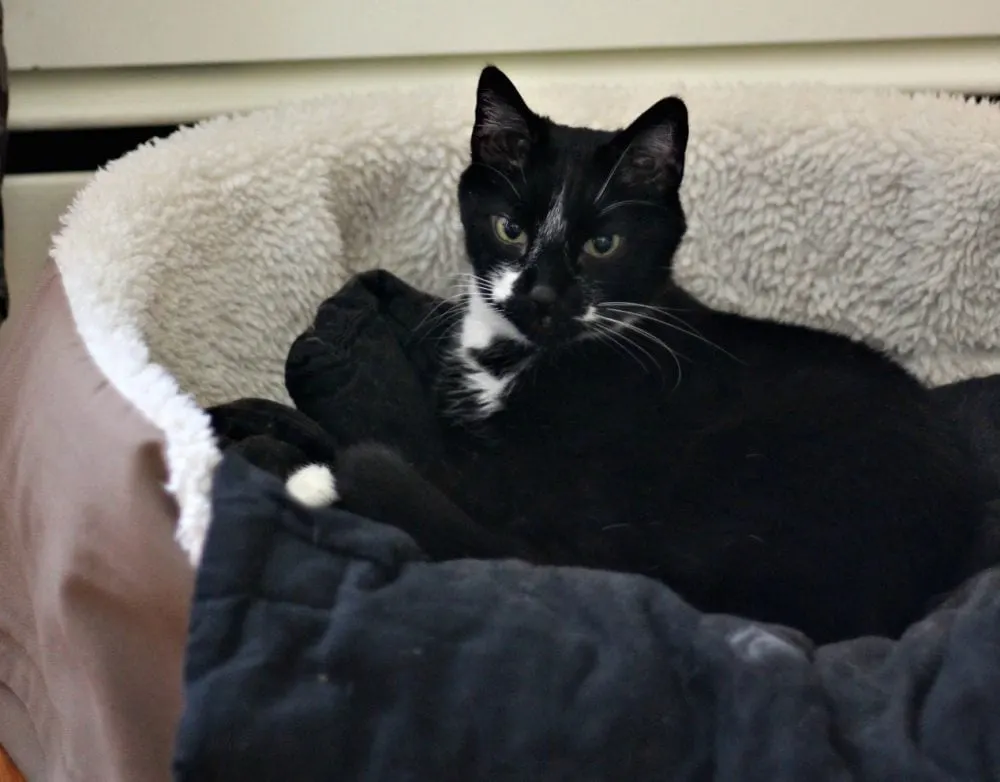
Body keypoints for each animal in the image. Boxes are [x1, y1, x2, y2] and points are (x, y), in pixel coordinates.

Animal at [288, 66, 992, 644]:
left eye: (603, 245)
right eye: (509, 228)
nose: (540, 297)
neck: (522, 355)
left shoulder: (537, 479)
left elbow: (438, 466)